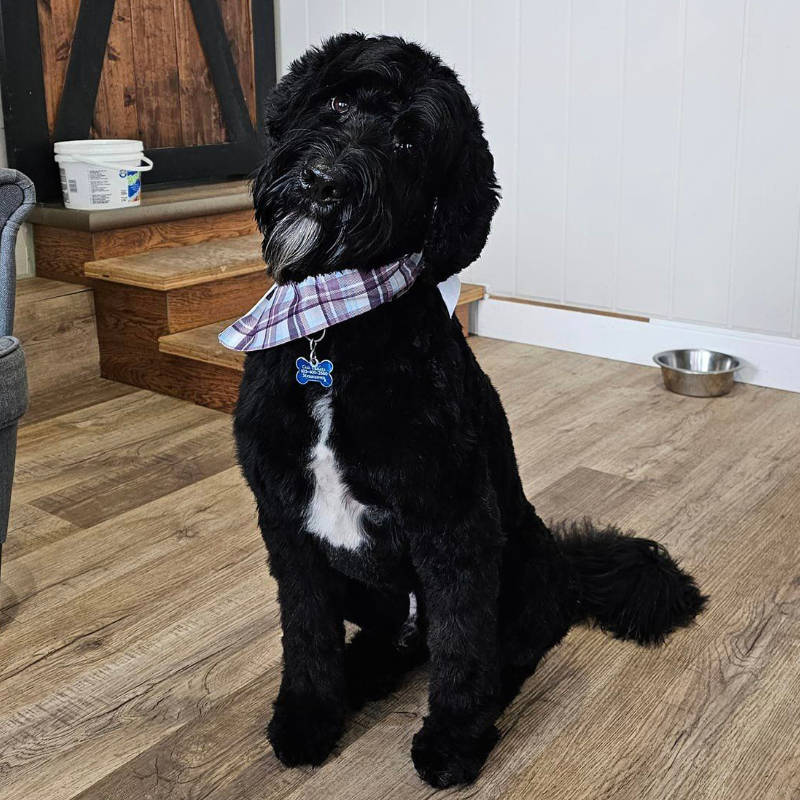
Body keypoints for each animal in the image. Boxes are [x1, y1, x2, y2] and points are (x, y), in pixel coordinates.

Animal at [233, 36, 708, 788]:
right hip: (367, 590)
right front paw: (309, 717)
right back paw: (362, 672)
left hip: (518, 570)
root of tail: (565, 566)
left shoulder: (452, 522)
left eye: (409, 140)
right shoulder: (287, 523)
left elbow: (461, 646)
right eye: (335, 100)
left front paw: (453, 740)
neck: (333, 337)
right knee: (389, 638)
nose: (323, 181)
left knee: (499, 652)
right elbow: (305, 634)